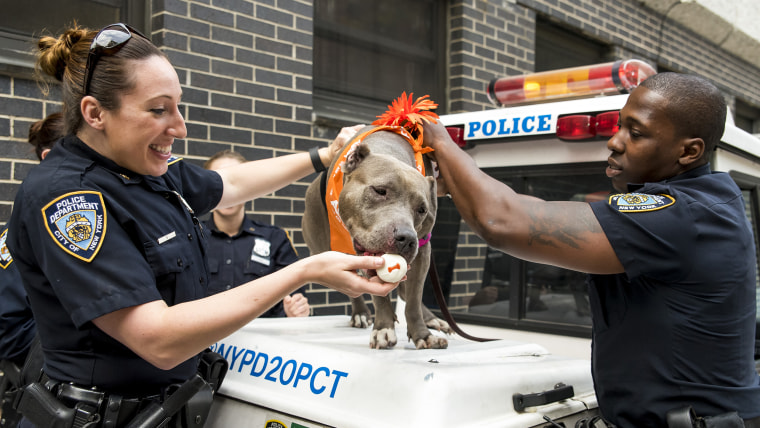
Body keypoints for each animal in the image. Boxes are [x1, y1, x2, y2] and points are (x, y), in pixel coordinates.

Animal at [302, 125, 452, 350]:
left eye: (422, 209)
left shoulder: (423, 251)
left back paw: (431, 319)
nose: (407, 238)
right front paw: (383, 328)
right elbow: (378, 295)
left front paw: (423, 335)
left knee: (407, 293)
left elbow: (414, 299)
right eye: (380, 191)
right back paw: (360, 314)